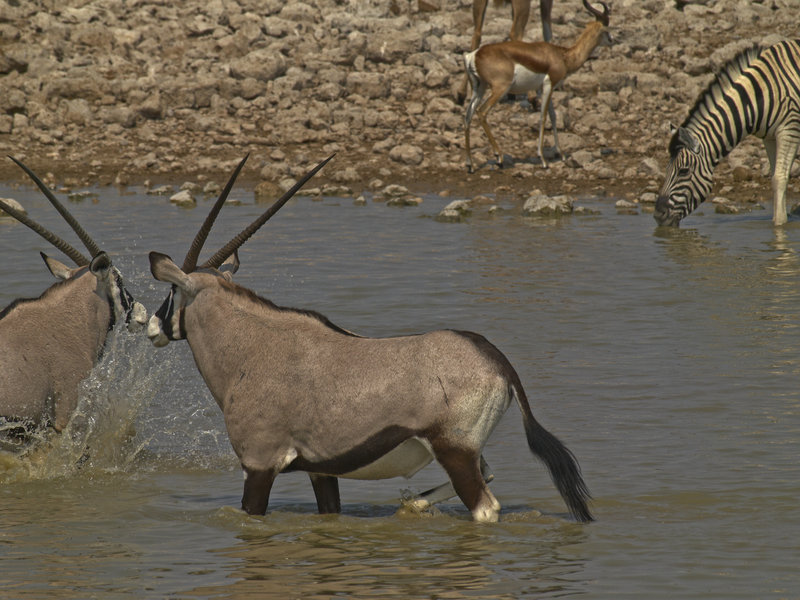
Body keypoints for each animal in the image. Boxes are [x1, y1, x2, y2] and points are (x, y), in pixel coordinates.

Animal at [654, 39, 800, 227]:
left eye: (684, 171)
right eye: (666, 169)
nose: (658, 215)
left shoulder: (789, 128)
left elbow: (779, 179)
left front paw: (779, 226)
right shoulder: (769, 137)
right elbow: (775, 178)